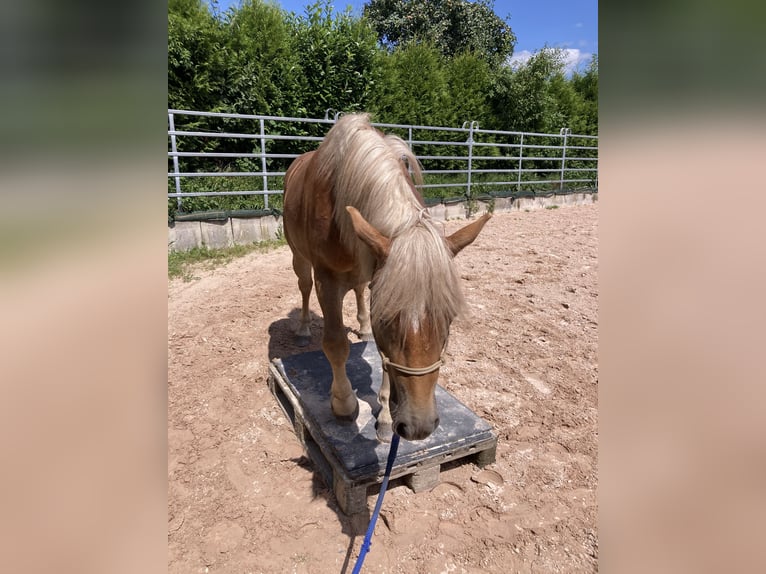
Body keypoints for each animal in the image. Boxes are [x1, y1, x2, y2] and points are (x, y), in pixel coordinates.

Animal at [284, 115, 492, 444]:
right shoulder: (326, 279)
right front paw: (344, 404)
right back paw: (303, 329)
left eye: (449, 317)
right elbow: (335, 343)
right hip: (299, 258)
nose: (419, 425)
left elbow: (381, 355)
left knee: (357, 290)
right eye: (386, 318)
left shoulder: (375, 270)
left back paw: (362, 327)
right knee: (303, 289)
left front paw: (383, 415)